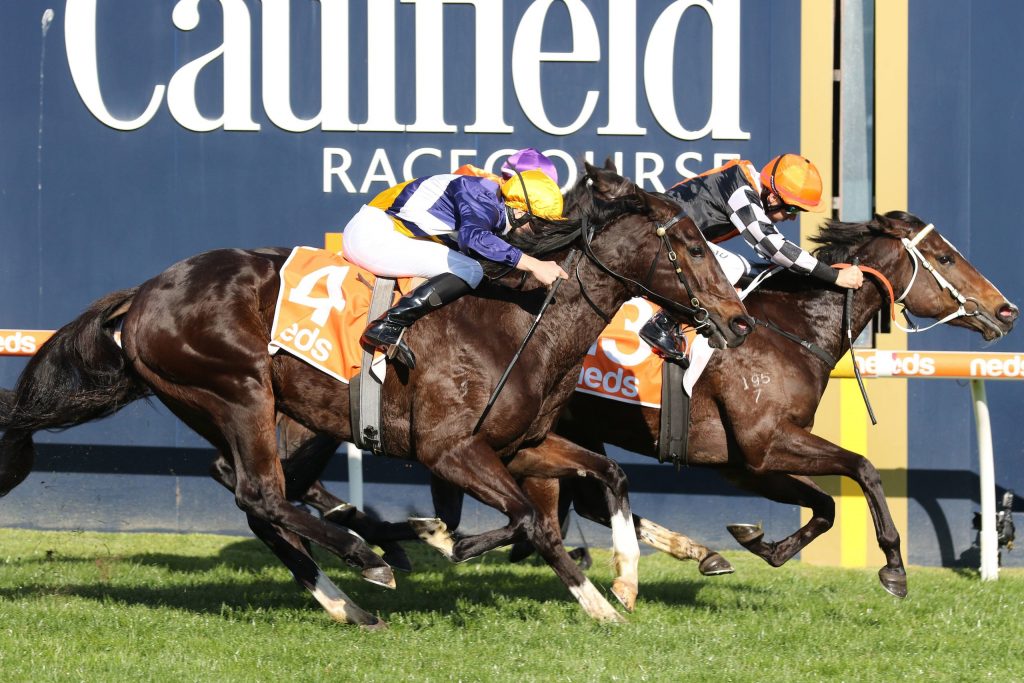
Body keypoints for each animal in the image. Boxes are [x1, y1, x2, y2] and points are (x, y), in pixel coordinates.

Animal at [0, 163, 751, 626]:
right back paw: (368, 561)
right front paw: (591, 601)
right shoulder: (450, 451)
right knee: (261, 495)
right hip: (238, 391)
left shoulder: (521, 443)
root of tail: (144, 294)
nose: (739, 321)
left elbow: (610, 475)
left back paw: (351, 600)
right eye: (691, 245)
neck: (520, 322)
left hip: (238, 407)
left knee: (256, 497)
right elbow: (533, 522)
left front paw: (626, 579)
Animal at [501, 211, 1018, 598]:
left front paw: (761, 544)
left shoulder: (743, 464)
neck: (793, 329)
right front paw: (894, 565)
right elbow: (863, 468)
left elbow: (825, 505)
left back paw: (701, 553)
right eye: (945, 257)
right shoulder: (765, 443)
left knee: (587, 501)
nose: (1006, 310)